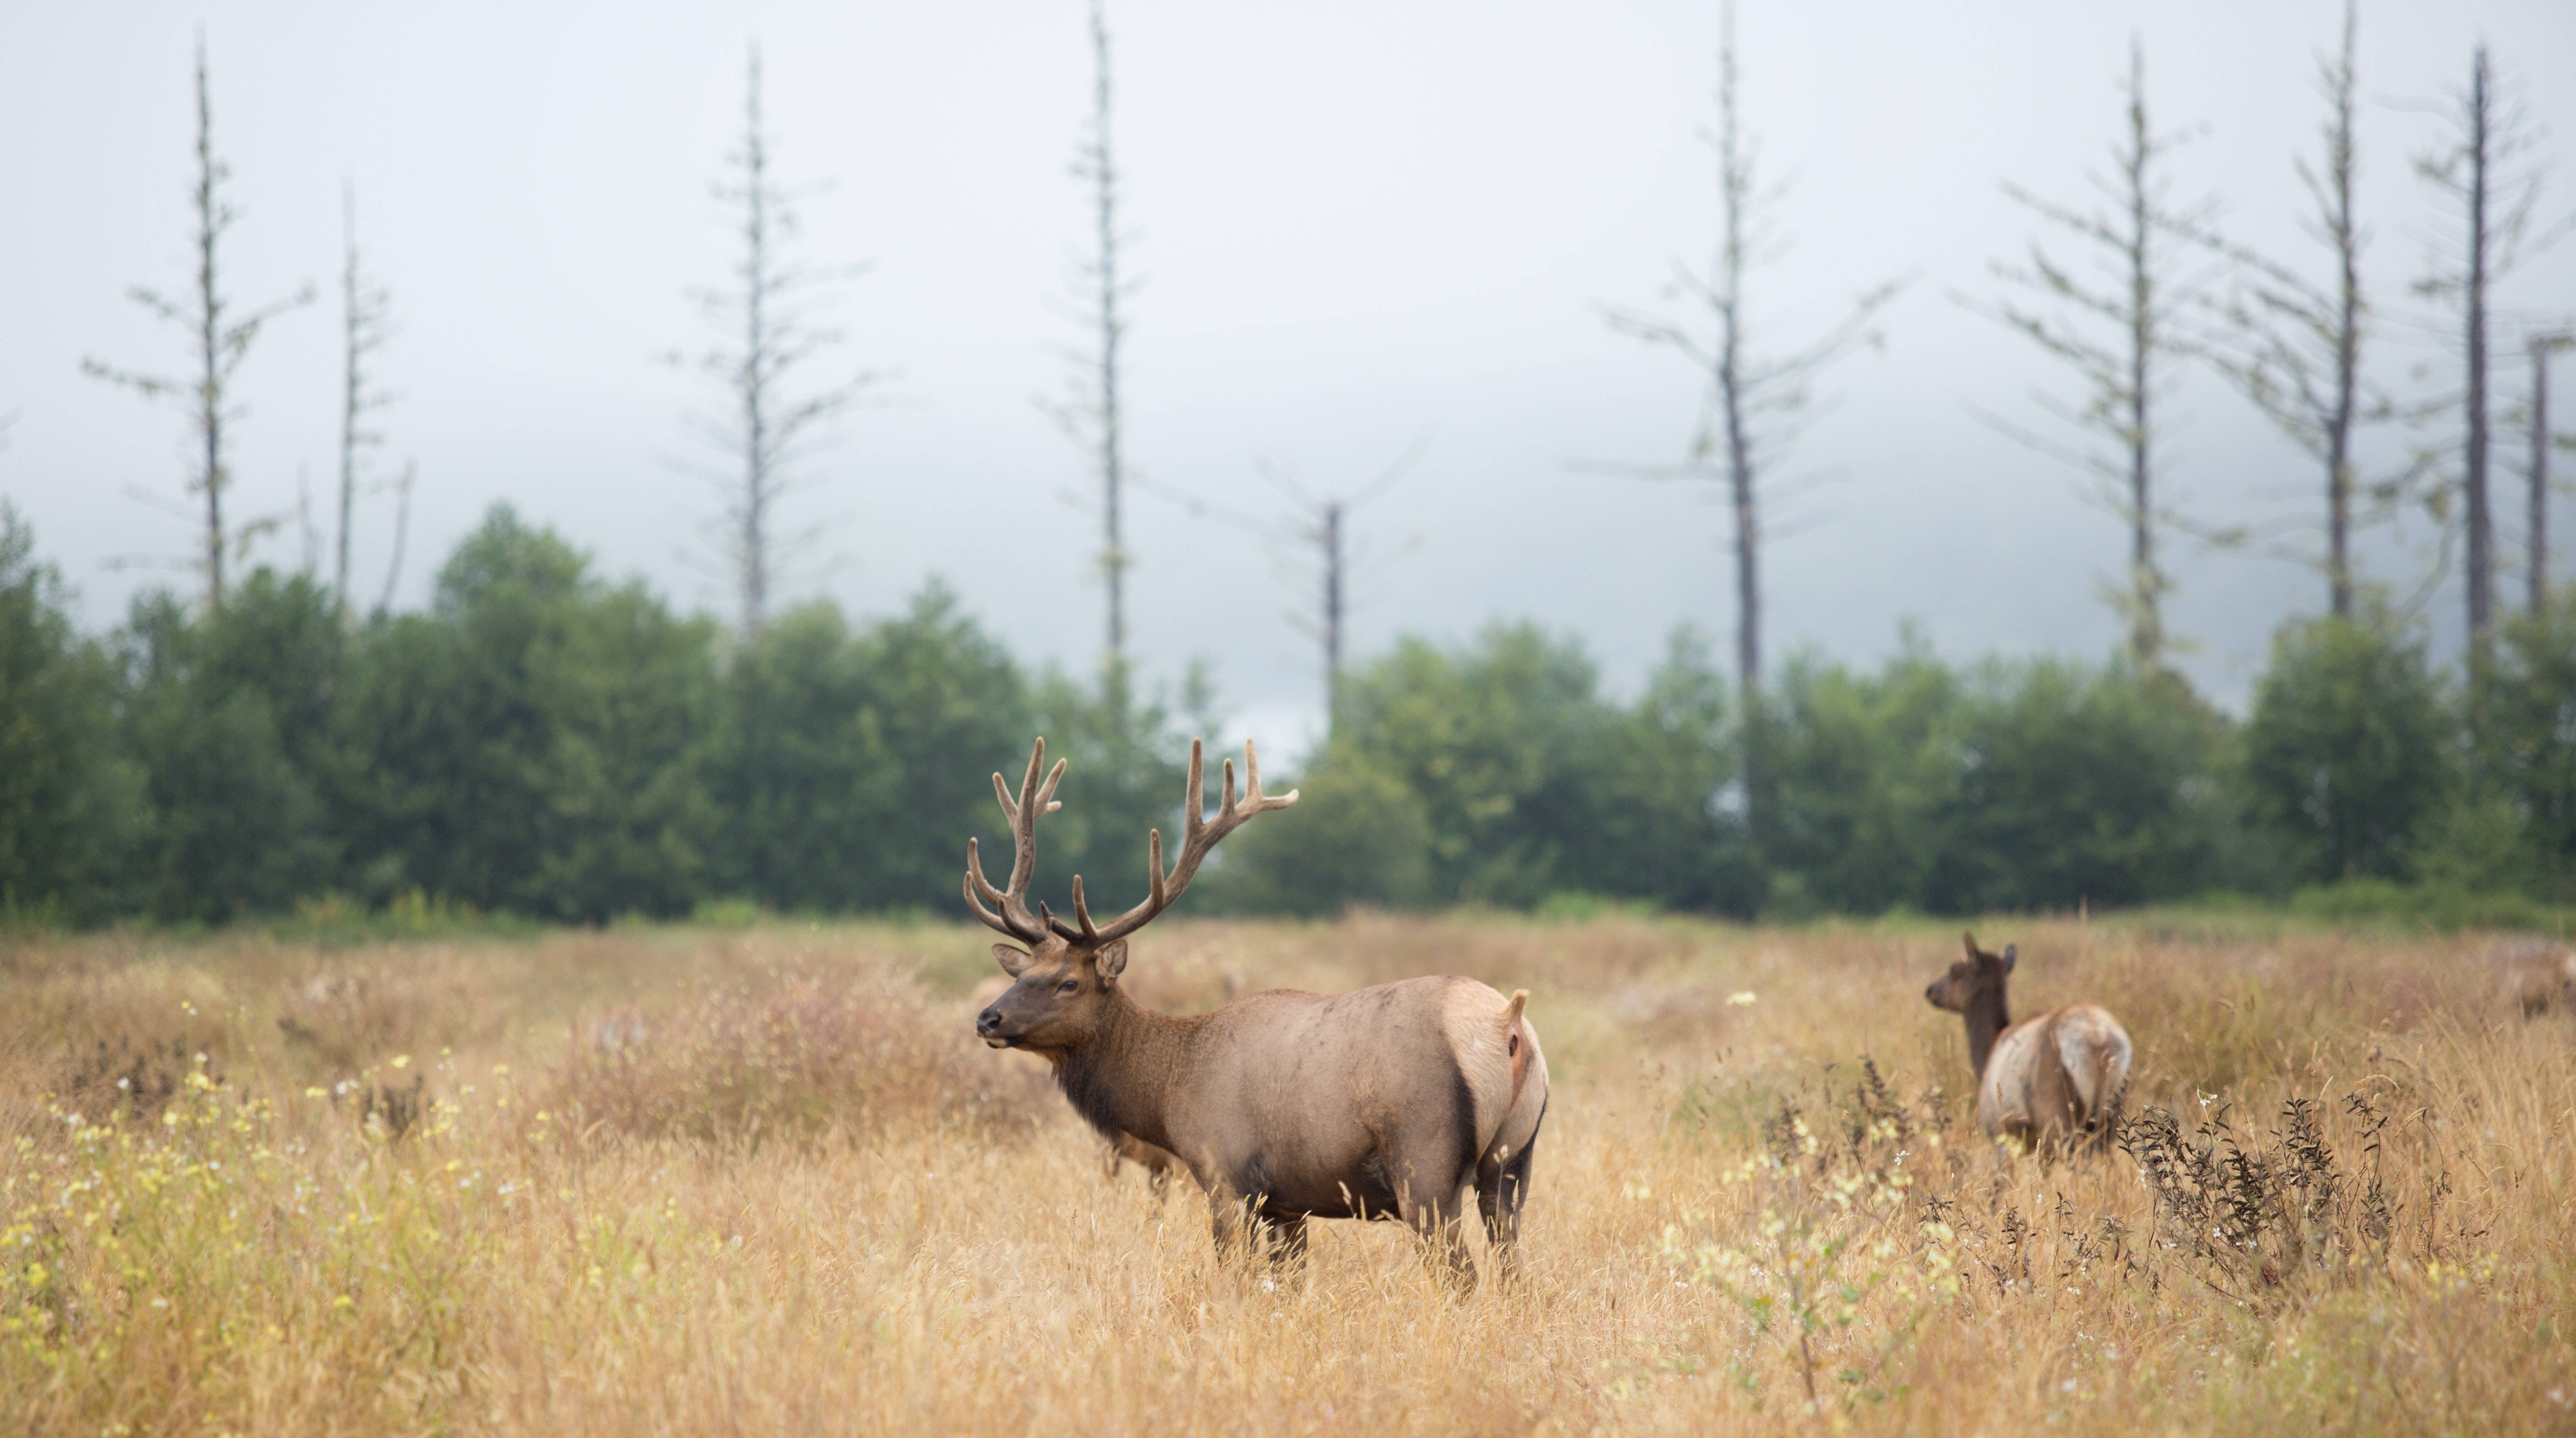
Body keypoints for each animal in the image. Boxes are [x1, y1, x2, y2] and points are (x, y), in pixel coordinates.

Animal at [968, 742, 1545, 1283]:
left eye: (1068, 983)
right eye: (1020, 974)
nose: (987, 1019)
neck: (1168, 1091)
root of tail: (1508, 1022)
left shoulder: (1226, 1175)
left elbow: (1237, 1277)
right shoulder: (1287, 1203)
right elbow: (1287, 1281)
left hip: (1424, 1162)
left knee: (1462, 1275)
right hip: (1513, 1160)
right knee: (1512, 1270)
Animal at [1916, 938, 2133, 1159]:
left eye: (1955, 970)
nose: (1930, 991)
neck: (1986, 1057)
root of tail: (2098, 1039)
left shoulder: (1999, 1132)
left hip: (2055, 1113)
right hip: (2112, 1111)